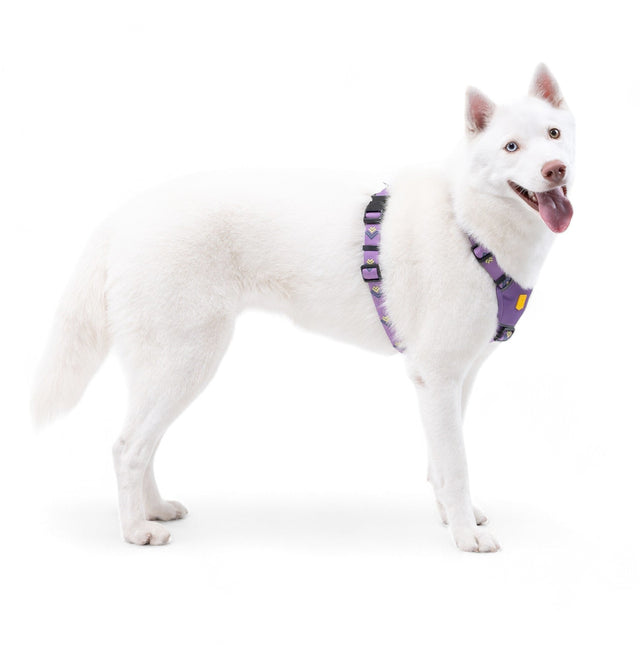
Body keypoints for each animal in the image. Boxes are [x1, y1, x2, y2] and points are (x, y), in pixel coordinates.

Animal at [32, 64, 575, 552]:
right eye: (510, 147)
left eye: (554, 134)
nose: (555, 169)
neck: (468, 222)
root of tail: (125, 215)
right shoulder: (437, 376)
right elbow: (456, 464)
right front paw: (464, 536)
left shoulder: (456, 378)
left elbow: (440, 462)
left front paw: (451, 517)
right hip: (185, 361)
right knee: (127, 448)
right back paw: (135, 531)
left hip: (166, 369)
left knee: (143, 442)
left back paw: (153, 509)